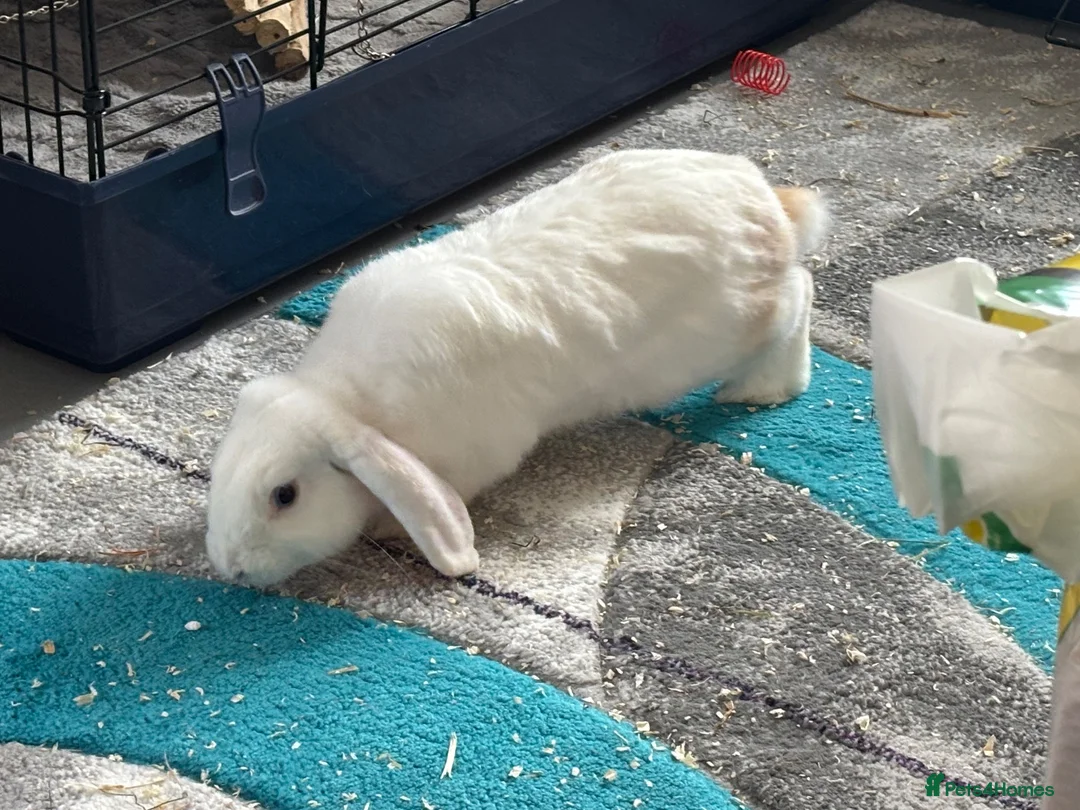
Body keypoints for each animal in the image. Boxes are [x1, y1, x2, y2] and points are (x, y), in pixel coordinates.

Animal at [205, 148, 827, 588]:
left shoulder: (476, 457)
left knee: (800, 292)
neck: (350, 401)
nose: (231, 568)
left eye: (285, 496)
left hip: (731, 328)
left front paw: (389, 527)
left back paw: (759, 390)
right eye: (218, 469)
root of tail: (763, 198)